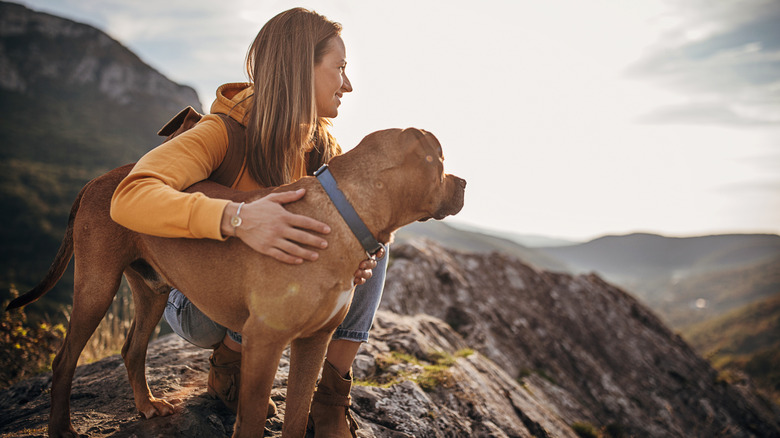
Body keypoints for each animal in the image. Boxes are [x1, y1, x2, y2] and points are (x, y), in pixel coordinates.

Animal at [9, 127, 464, 438]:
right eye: (441, 162)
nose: (464, 183)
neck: (344, 211)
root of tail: (101, 179)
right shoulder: (265, 342)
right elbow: (251, 418)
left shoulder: (313, 342)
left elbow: (296, 416)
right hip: (96, 287)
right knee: (64, 360)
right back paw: (61, 428)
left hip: (152, 290)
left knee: (131, 350)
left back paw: (147, 405)